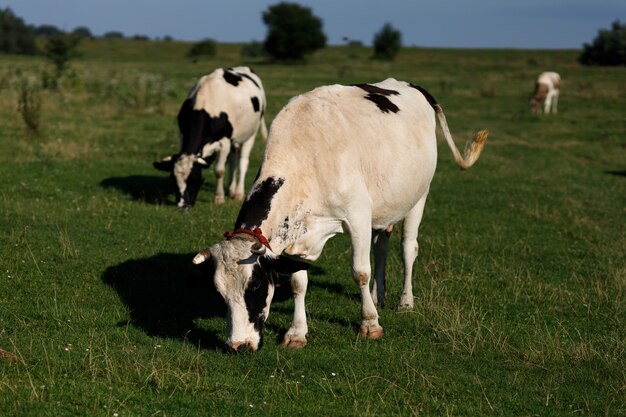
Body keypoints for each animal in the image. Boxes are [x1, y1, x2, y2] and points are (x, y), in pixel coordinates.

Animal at [155, 66, 266, 208]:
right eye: (173, 180)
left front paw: (219, 198)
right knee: (233, 160)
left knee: (243, 161)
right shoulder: (183, 135)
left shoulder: (224, 141)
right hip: (235, 138)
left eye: (194, 180)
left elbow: (219, 170)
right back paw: (231, 189)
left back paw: (238, 193)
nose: (182, 204)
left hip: (251, 133)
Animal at [193, 79, 486, 352]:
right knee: (381, 247)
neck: (305, 157)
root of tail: (408, 85)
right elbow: (298, 281)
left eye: (254, 286)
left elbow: (360, 272)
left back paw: (404, 301)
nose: (237, 346)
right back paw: (378, 296)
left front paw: (370, 324)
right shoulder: (300, 236)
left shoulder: (358, 216)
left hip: (418, 196)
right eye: (220, 292)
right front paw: (297, 332)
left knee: (408, 249)